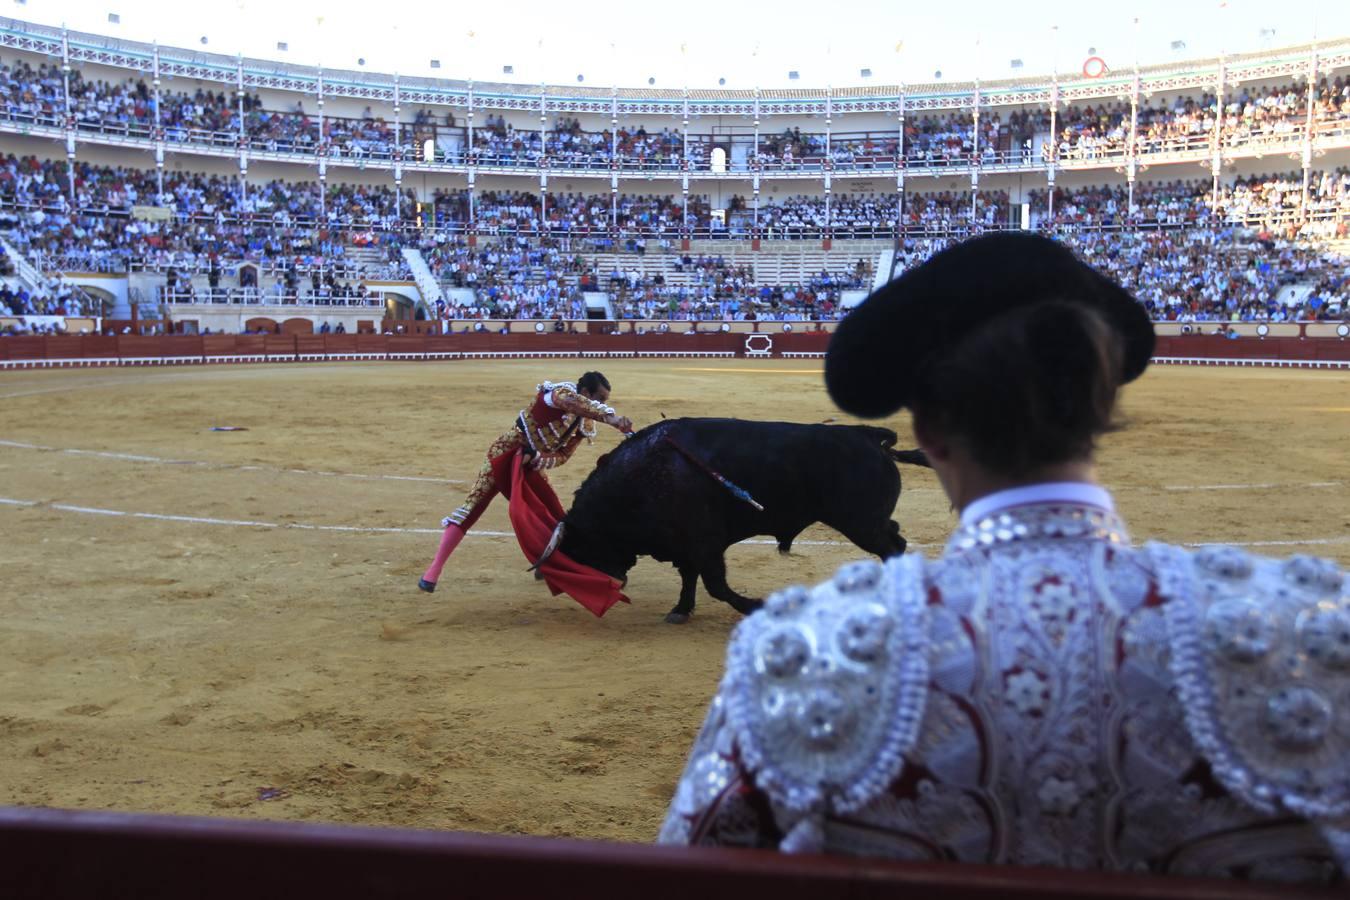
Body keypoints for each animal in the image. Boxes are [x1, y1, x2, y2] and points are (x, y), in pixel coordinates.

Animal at [556, 418, 928, 623]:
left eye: (584, 548)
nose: (615, 581)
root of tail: (869, 436)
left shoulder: (704, 543)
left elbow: (717, 585)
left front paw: (758, 606)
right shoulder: (686, 545)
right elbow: (690, 578)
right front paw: (681, 610)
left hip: (861, 523)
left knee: (892, 546)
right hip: (869, 522)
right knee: (896, 540)